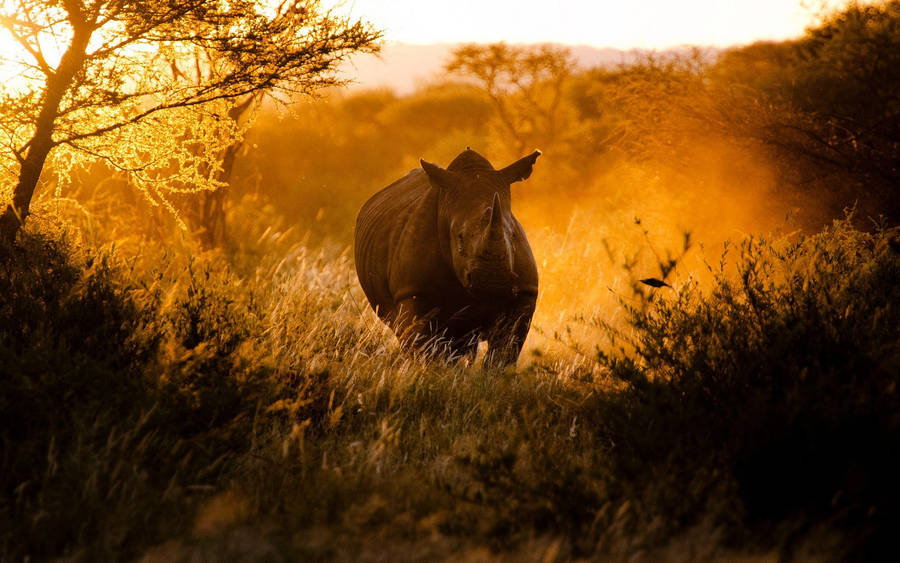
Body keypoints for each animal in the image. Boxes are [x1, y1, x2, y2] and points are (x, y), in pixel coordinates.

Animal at [354, 148, 541, 368]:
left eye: (512, 236)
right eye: (459, 237)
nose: (492, 281)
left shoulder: (524, 293)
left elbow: (506, 349)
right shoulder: (413, 290)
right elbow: (424, 346)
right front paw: (429, 372)